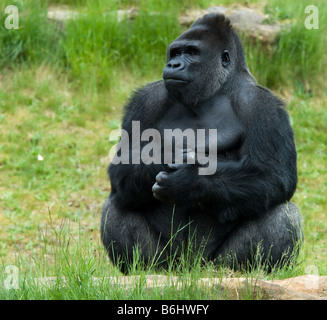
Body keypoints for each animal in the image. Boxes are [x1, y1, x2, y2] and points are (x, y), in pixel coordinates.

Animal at [101, 13, 304, 272]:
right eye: (175, 53)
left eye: (192, 52)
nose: (173, 65)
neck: (216, 90)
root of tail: (190, 269)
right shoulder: (145, 101)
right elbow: (122, 166)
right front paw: (163, 155)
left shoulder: (264, 105)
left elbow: (273, 175)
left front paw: (190, 181)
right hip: (169, 263)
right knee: (119, 203)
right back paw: (142, 269)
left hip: (215, 264)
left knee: (283, 212)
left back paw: (250, 271)